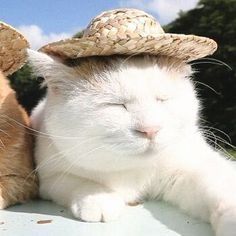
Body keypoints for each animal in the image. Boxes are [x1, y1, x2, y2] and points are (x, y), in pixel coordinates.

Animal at [28, 48, 236, 235]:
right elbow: (76, 181)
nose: (150, 129)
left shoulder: (195, 167)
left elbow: (221, 186)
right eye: (116, 105)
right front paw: (98, 198)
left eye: (162, 99)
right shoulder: (48, 177)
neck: (137, 170)